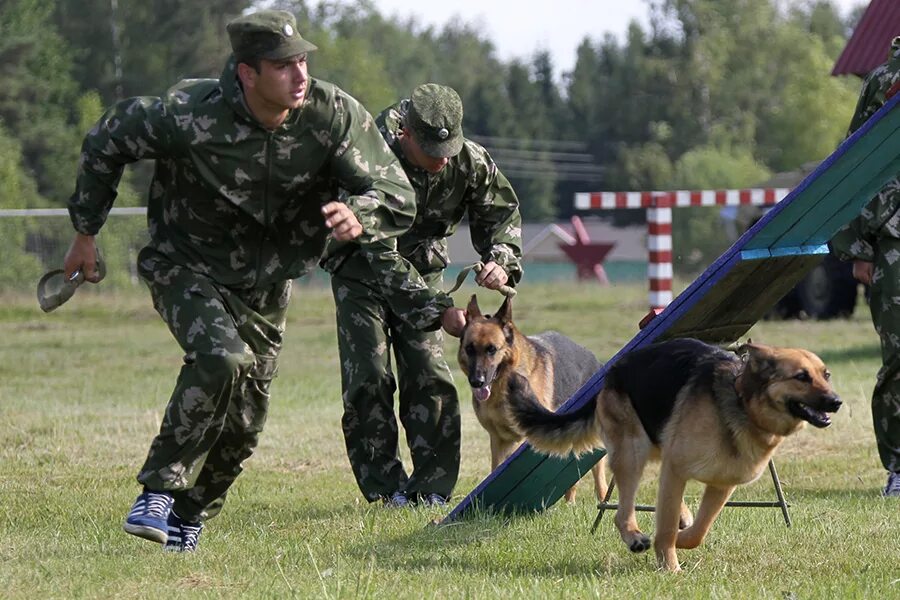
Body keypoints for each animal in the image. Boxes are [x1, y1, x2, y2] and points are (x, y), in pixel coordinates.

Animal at [458, 296, 604, 502]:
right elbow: (496, 471)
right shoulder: (498, 439)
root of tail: (595, 359)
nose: (477, 382)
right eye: (469, 349)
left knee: (600, 479)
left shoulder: (522, 437)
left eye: (492, 349)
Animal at [506, 338, 844, 572]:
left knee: (668, 504)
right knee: (622, 512)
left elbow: (699, 532)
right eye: (801, 377)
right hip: (632, 453)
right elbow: (666, 527)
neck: (743, 403)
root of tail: (613, 371)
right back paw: (635, 536)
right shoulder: (678, 469)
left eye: (826, 374)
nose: (836, 402)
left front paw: (680, 542)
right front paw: (669, 566)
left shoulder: (720, 485)